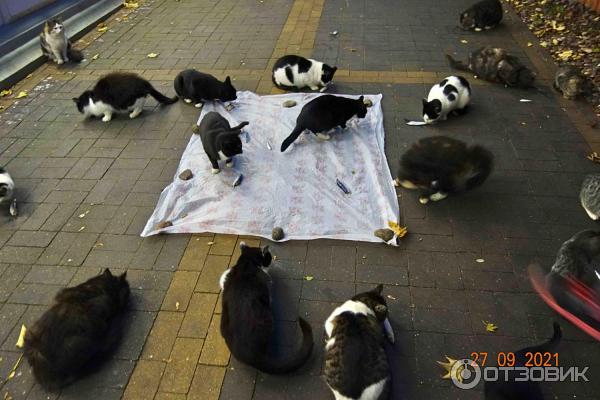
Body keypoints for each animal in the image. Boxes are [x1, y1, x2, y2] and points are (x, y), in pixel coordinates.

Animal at [219, 242, 314, 374]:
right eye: (268, 256)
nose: (271, 258)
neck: (247, 262)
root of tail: (253, 356)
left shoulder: (225, 278)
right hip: (267, 317)